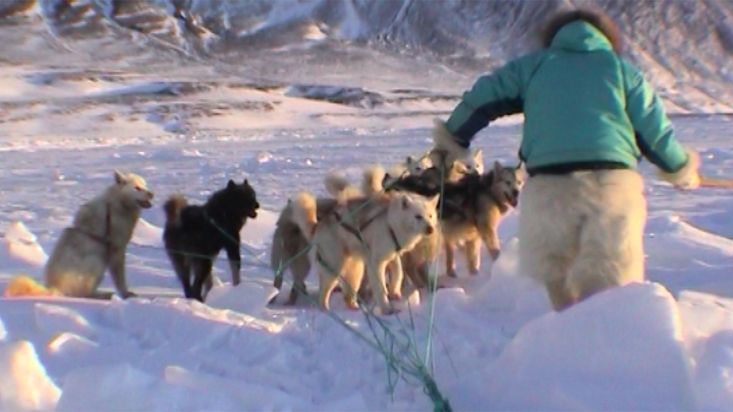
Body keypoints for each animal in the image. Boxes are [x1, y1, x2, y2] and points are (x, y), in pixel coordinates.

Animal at [44, 171, 153, 300]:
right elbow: (120, 276)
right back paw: (103, 295)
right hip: (98, 259)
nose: (152, 194)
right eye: (137, 188)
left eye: (145, 185)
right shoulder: (117, 247)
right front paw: (126, 294)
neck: (118, 202)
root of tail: (54, 288)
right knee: (85, 293)